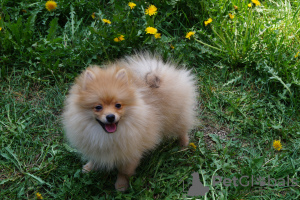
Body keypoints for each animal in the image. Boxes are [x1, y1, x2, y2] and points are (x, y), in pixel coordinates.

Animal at [62, 52, 198, 191]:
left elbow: (124, 171)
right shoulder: (95, 146)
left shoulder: (130, 152)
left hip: (177, 117)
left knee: (182, 129)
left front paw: (121, 185)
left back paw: (183, 144)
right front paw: (89, 167)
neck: (106, 135)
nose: (110, 116)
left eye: (118, 105)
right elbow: (95, 158)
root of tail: (159, 75)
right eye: (98, 107)